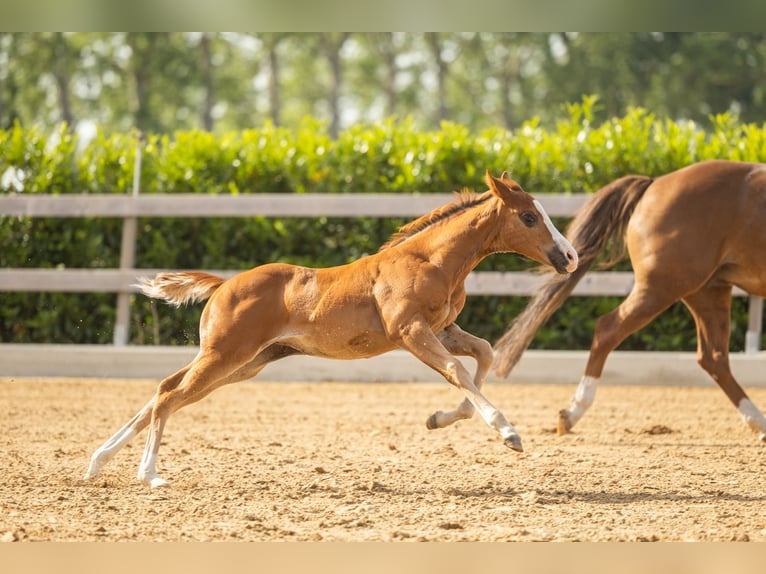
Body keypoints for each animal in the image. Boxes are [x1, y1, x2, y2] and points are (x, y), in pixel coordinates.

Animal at [83, 171, 578, 488]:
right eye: (529, 217)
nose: (569, 256)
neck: (429, 260)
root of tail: (224, 285)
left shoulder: (444, 328)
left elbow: (485, 353)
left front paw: (440, 418)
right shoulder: (410, 331)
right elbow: (458, 370)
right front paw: (508, 432)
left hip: (245, 362)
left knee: (163, 390)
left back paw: (97, 462)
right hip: (225, 355)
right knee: (169, 395)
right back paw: (148, 474)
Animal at [493, 159, 766, 443]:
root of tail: (655, 184)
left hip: (708, 290)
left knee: (714, 357)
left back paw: (759, 423)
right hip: (663, 287)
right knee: (608, 329)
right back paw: (573, 412)